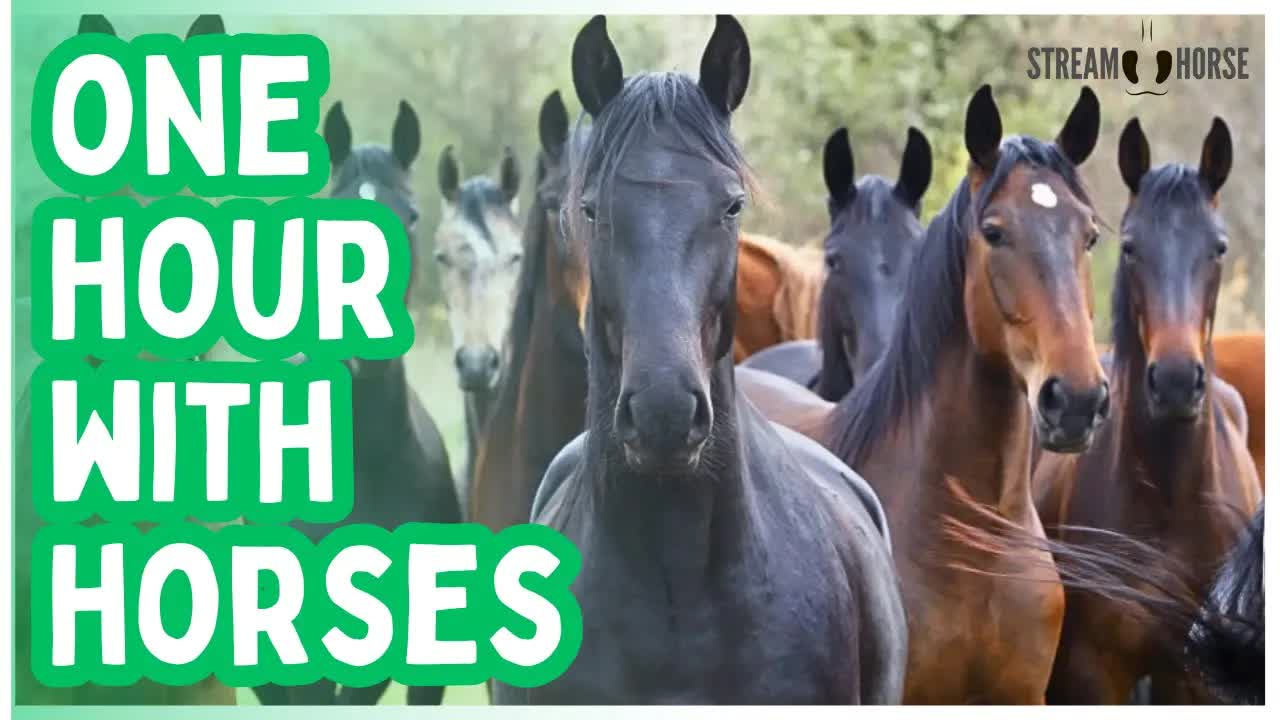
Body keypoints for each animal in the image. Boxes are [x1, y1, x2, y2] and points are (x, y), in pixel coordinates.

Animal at [1032, 117, 1260, 704]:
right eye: (1131, 247)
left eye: (1219, 247)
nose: (1176, 381)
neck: (1170, 500)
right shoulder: (1092, 676)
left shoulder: (1192, 677)